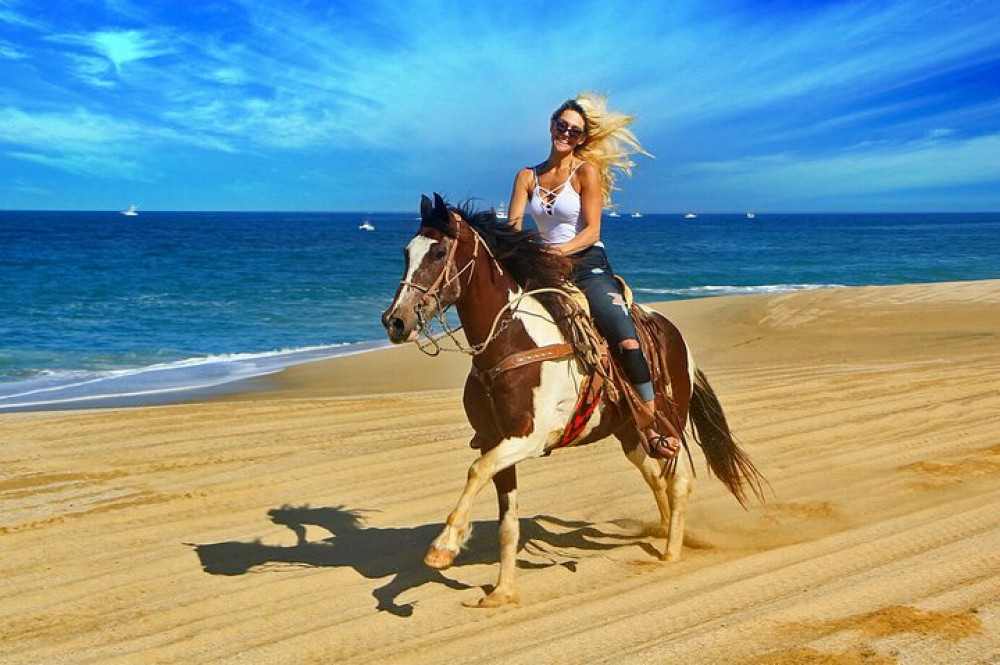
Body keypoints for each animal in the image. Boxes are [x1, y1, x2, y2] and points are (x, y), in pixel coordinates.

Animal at [378, 193, 760, 608]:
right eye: (406, 252)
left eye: (438, 252)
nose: (394, 321)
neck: (509, 343)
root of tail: (677, 337)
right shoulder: (495, 440)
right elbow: (506, 520)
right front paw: (502, 593)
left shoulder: (529, 438)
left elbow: (476, 471)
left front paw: (443, 548)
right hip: (630, 434)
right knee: (655, 477)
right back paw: (663, 531)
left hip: (668, 424)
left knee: (679, 481)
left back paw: (671, 553)